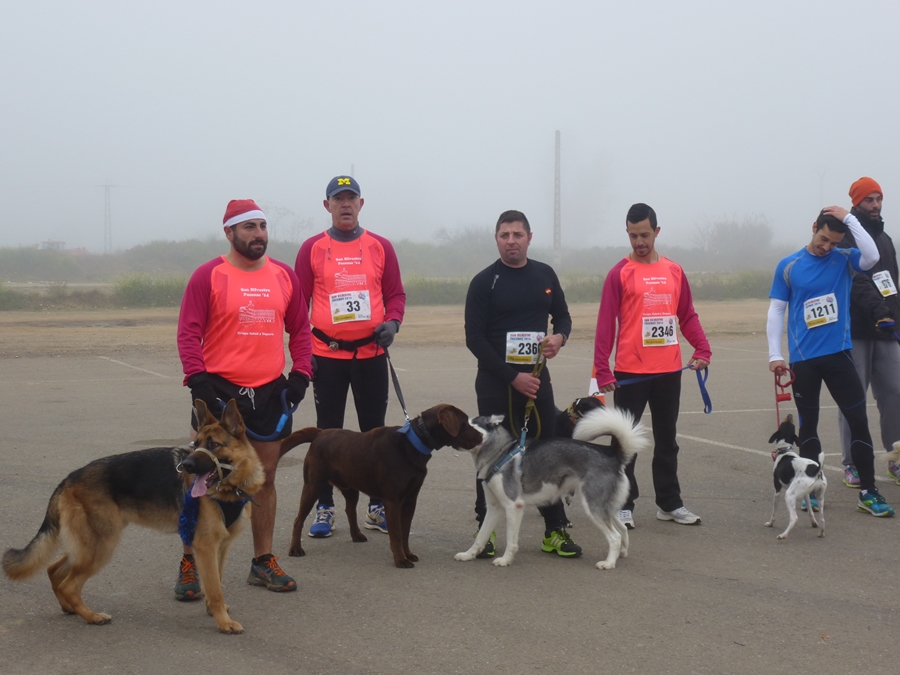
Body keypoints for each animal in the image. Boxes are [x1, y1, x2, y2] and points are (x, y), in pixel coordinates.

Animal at [2, 402, 264, 632]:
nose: (186, 465)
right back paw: (92, 616)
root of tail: (68, 479)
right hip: (101, 546)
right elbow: (215, 588)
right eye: (197, 444)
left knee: (54, 569)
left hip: (89, 544)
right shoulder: (206, 547)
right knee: (69, 584)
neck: (231, 487)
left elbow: (215, 582)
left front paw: (214, 611)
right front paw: (224, 623)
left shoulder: (221, 546)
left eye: (214, 444)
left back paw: (70, 608)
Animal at [458, 406, 648, 572]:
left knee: (615, 537)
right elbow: (481, 537)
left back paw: (608, 563)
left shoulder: (514, 506)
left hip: (593, 507)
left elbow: (511, 540)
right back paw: (621, 554)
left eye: (468, 425)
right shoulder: (494, 508)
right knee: (622, 529)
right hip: (605, 507)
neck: (501, 453)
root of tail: (613, 454)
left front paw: (505, 560)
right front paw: (468, 555)